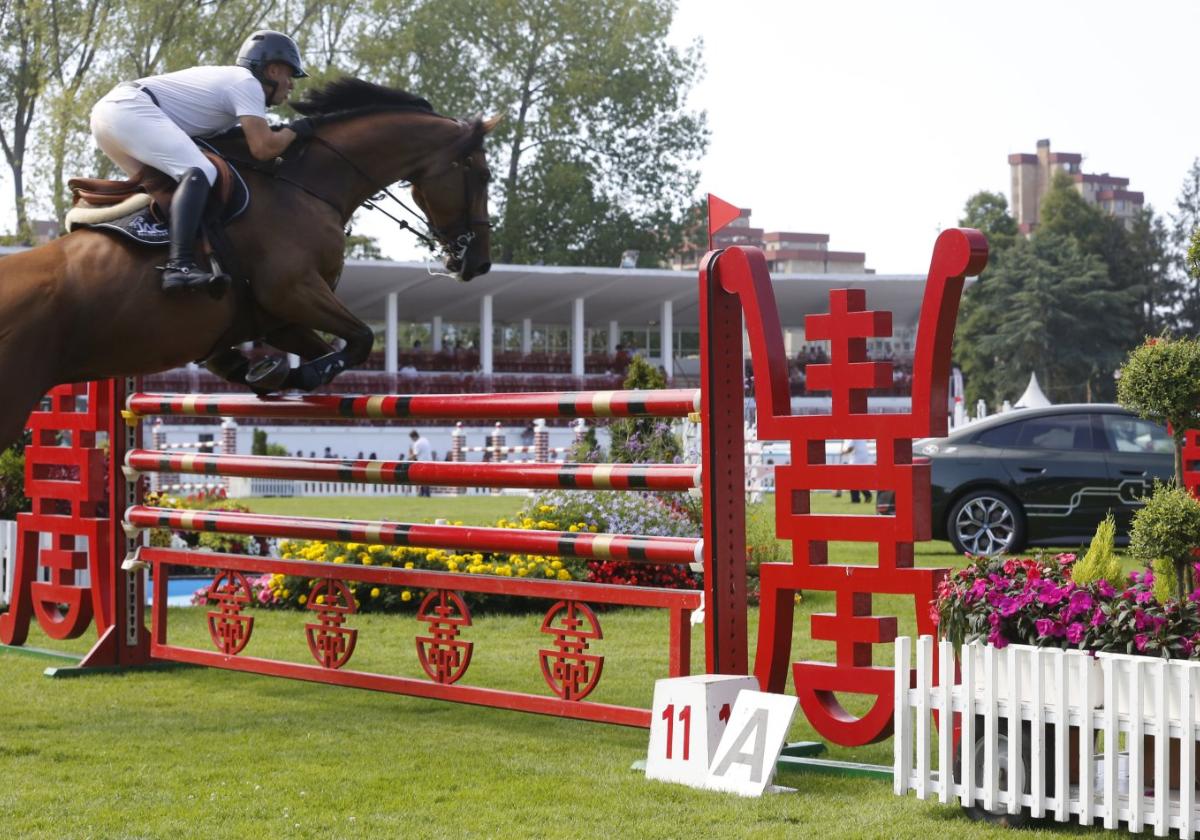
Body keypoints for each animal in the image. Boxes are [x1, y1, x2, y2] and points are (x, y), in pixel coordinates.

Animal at [0, 78, 496, 453]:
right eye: (483, 174)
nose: (479, 262)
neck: (305, 185)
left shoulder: (274, 317)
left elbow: (322, 349)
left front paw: (264, 371)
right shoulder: (292, 291)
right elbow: (360, 340)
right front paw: (293, 373)